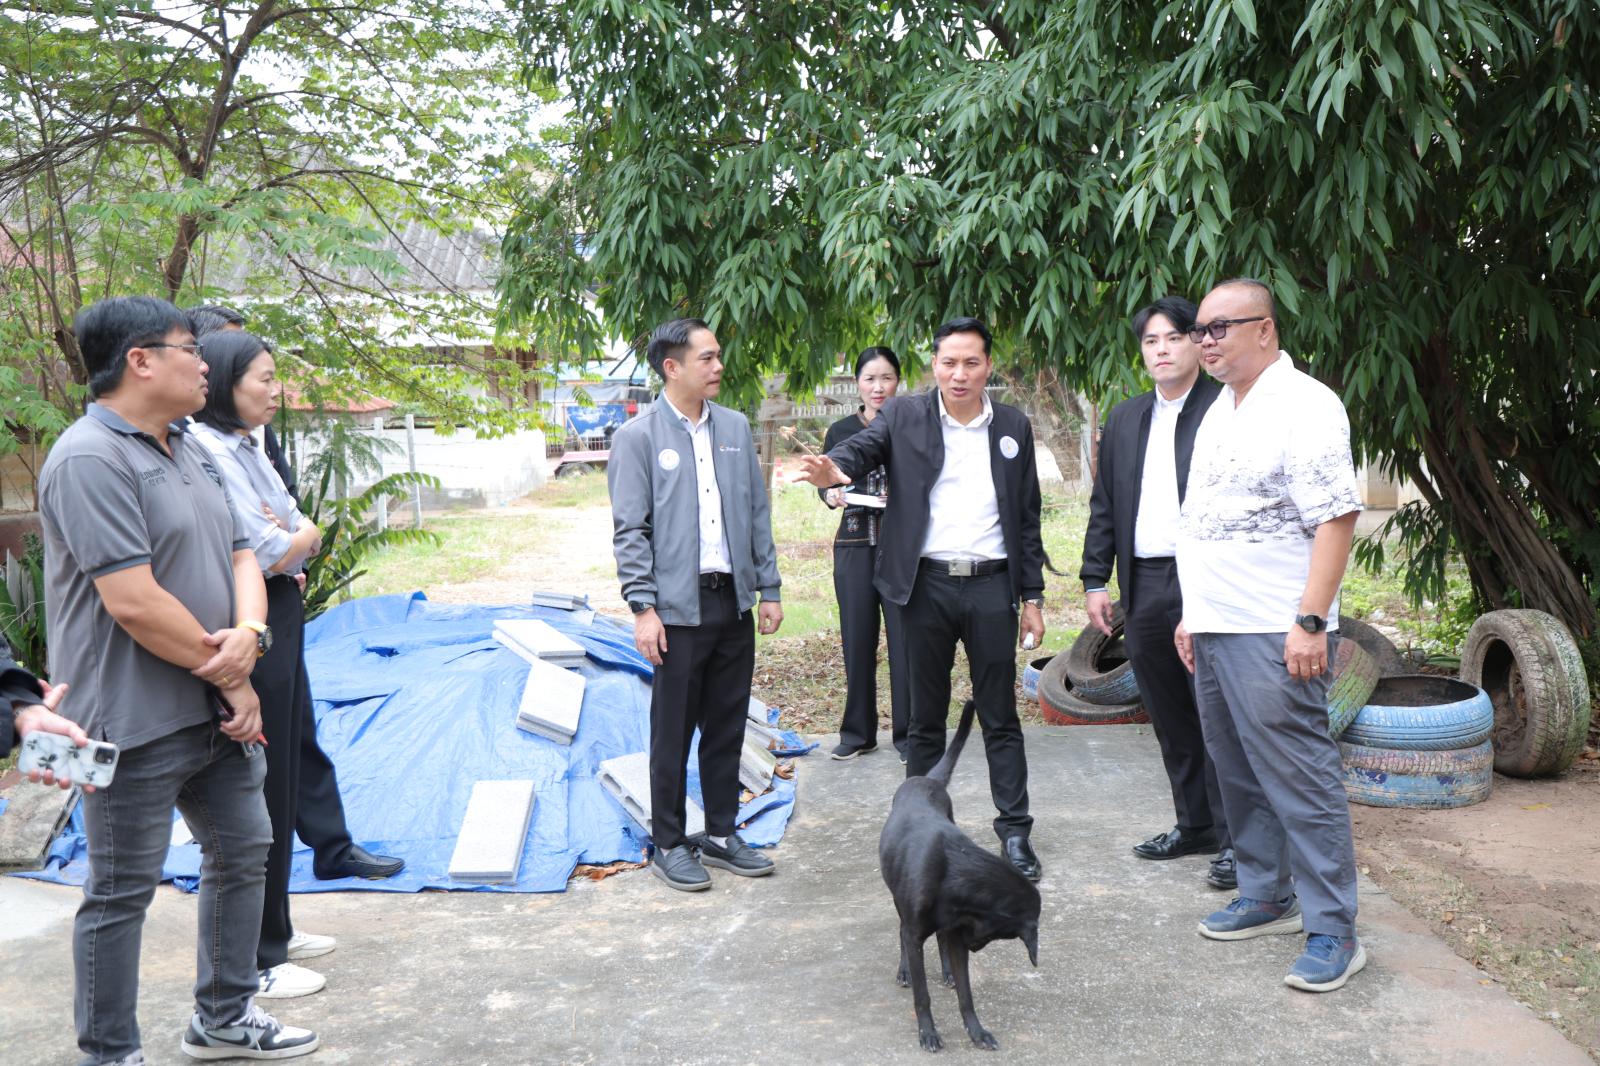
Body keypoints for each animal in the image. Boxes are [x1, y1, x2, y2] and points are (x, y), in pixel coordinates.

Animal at [879, 700, 1041, 1052]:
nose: (976, 947)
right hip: (899, 903)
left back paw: (946, 972)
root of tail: (926, 779)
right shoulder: (918, 933)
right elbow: (922, 995)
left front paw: (976, 1032)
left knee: (939, 941)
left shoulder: (957, 936)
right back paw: (904, 971)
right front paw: (928, 1033)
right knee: (901, 933)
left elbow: (966, 994)